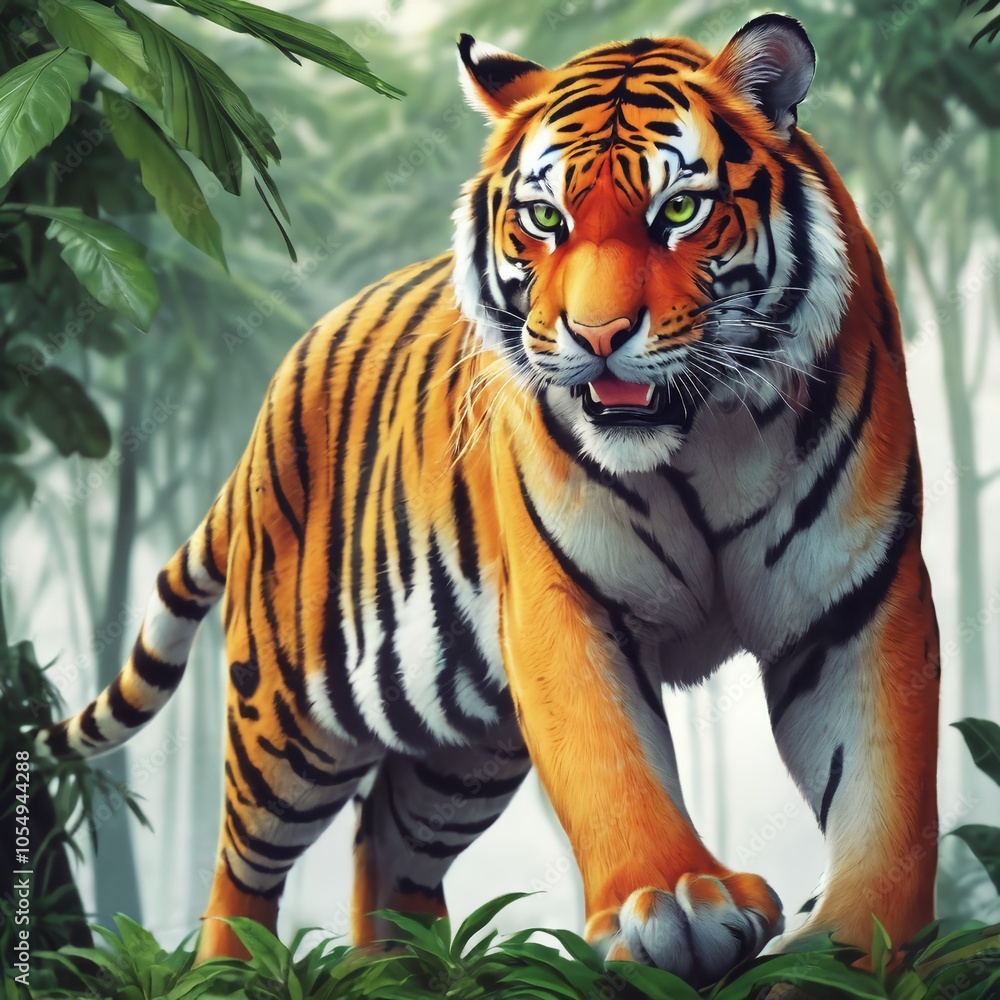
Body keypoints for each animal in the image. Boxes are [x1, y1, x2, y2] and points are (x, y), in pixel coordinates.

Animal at [35, 13, 940, 986]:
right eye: (546, 219)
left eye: (679, 212)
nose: (596, 336)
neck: (708, 439)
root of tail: (270, 397)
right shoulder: (563, 598)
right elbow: (609, 757)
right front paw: (673, 904)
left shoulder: (855, 600)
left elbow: (887, 782)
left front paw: (856, 942)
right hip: (289, 718)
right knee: (243, 860)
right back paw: (230, 975)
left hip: (463, 746)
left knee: (385, 838)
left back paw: (412, 972)